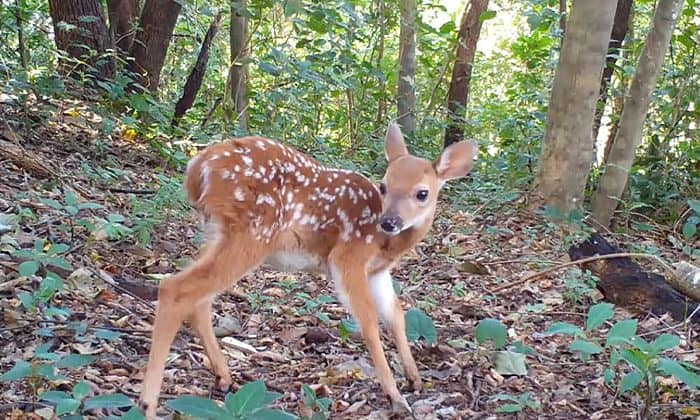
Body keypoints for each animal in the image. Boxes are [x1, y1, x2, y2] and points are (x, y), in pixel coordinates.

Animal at [138, 123, 477, 417]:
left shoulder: (377, 272)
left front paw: (414, 377)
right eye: (384, 186)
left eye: (422, 193)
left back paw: (224, 377)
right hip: (253, 232)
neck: (386, 245)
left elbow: (396, 315)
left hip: (218, 233)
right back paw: (148, 405)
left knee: (200, 296)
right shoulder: (348, 257)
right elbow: (368, 323)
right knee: (177, 288)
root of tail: (198, 168)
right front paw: (396, 397)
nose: (389, 222)